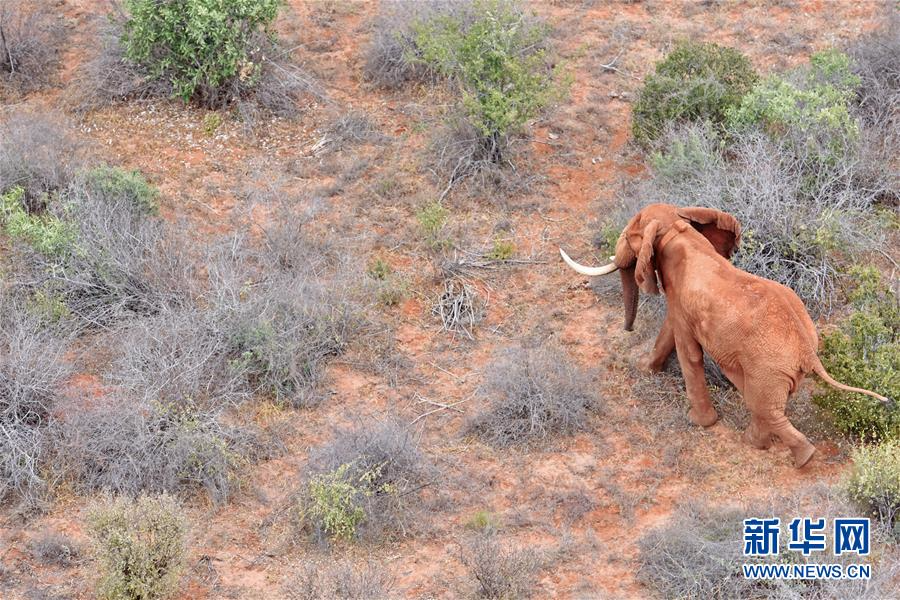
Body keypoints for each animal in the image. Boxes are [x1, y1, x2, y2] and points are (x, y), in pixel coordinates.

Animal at [560, 205, 888, 468]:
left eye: (629, 236)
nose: (627, 330)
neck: (678, 227)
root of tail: (808, 350)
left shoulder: (682, 303)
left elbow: (687, 350)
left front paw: (699, 422)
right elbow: (670, 332)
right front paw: (646, 370)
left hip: (767, 367)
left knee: (763, 405)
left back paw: (793, 454)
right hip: (777, 371)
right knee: (767, 405)